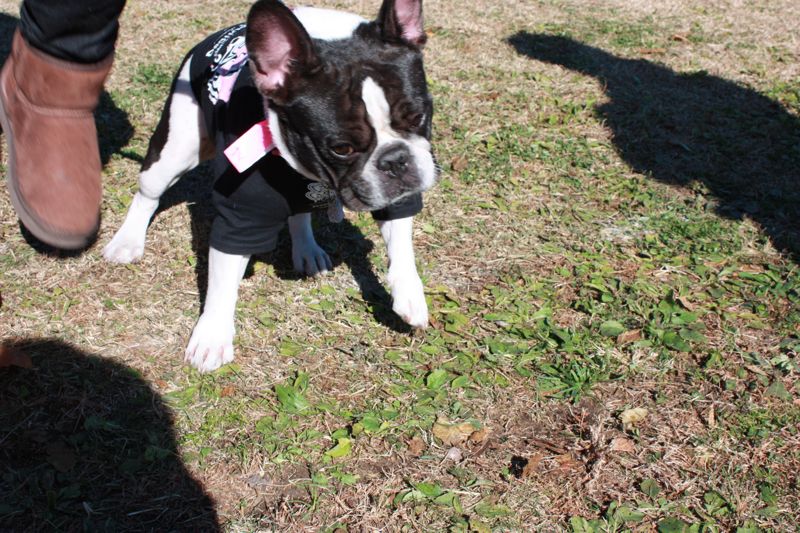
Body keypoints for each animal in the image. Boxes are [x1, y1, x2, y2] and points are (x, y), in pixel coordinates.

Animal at [103, 0, 438, 372]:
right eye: (341, 148)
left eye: (419, 117)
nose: (395, 160)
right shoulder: (241, 218)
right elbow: (222, 285)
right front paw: (212, 337)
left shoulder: (395, 195)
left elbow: (400, 241)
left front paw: (409, 294)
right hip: (176, 148)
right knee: (148, 193)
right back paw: (127, 241)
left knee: (299, 212)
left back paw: (307, 250)